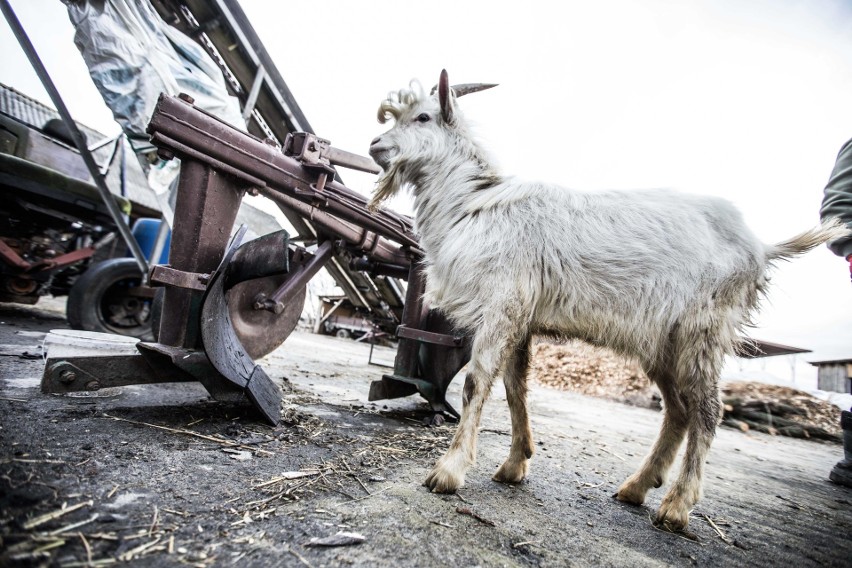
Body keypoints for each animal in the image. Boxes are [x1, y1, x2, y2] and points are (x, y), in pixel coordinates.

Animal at [364, 69, 844, 532]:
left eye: (423, 117)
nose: (375, 146)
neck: (475, 201)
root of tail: (761, 247)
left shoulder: (503, 305)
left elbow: (475, 383)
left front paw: (448, 471)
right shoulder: (522, 316)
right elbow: (516, 388)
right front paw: (515, 464)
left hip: (703, 330)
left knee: (708, 410)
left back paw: (676, 508)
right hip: (663, 342)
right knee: (678, 410)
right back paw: (636, 487)